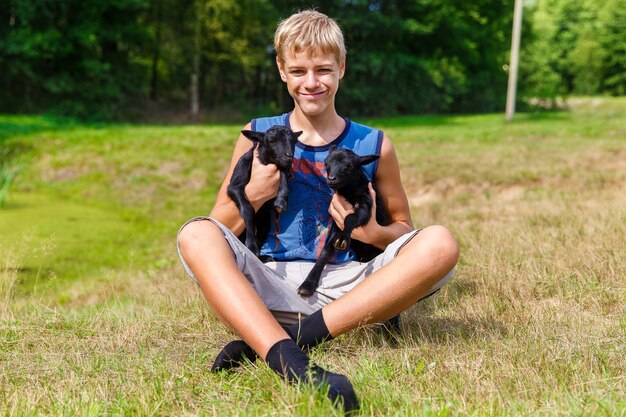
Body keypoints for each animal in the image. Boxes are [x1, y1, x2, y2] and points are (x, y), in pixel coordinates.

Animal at [225, 125, 302, 256]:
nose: (289, 156)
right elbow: (247, 208)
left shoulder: (283, 167)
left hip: (266, 223)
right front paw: (251, 246)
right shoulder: (235, 184)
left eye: (294, 141)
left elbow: (283, 174)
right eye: (272, 140)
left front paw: (281, 201)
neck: (265, 161)